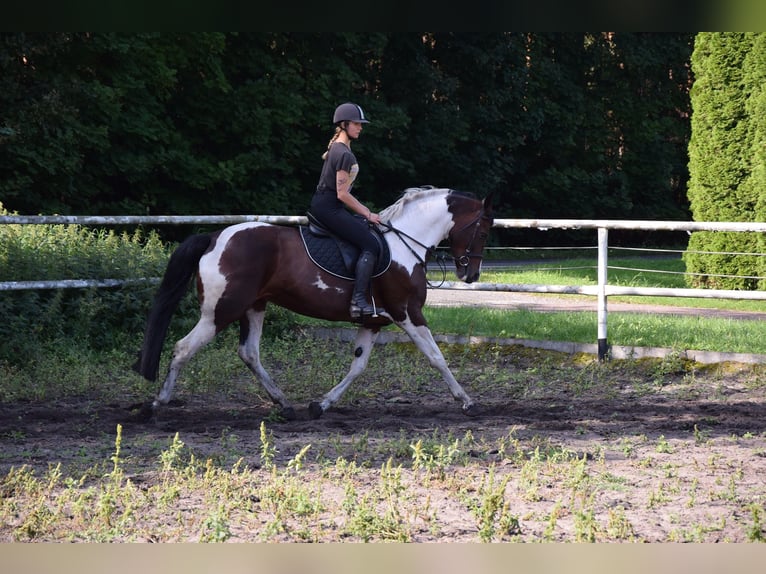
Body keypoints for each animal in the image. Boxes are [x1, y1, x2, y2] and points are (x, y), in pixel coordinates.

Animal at [133, 186, 494, 420]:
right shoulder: (408, 313)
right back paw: (157, 405)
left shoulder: (373, 321)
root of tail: (214, 237)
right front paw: (467, 402)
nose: (471, 274)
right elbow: (436, 358)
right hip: (220, 312)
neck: (405, 243)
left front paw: (321, 405)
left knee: (249, 353)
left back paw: (284, 404)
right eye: (483, 230)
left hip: (254, 307)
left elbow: (358, 366)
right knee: (183, 348)